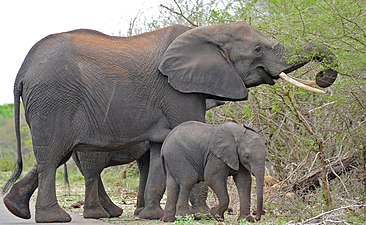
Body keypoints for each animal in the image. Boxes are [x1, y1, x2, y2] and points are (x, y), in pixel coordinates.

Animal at [2, 22, 336, 222]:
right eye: (257, 50)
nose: (323, 75)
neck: (208, 32)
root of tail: (21, 72)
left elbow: (159, 151)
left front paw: (152, 215)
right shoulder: (176, 91)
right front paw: (201, 214)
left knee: (54, 157)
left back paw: (16, 209)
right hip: (53, 100)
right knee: (52, 156)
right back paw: (56, 218)